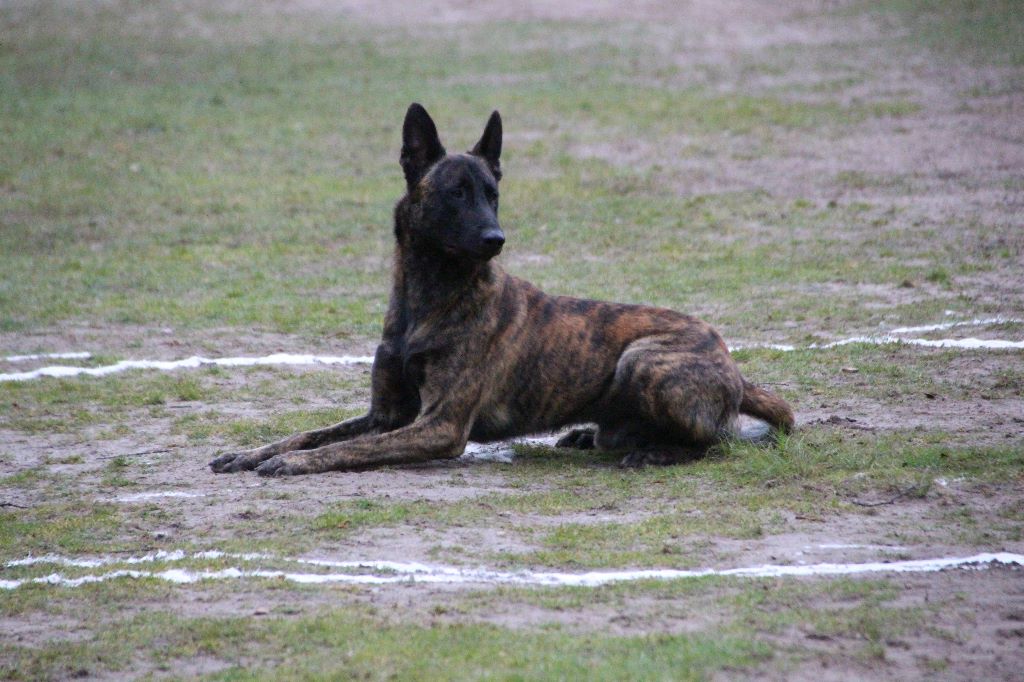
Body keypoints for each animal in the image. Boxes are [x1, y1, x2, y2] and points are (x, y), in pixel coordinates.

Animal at [211, 103, 794, 475]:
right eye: (455, 193)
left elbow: (345, 450)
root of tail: (731, 362)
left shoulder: (439, 425)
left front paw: (292, 462)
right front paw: (252, 452)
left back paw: (654, 452)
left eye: (492, 194)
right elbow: (316, 432)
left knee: (717, 440)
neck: (430, 295)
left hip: (644, 361)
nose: (496, 238)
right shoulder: (386, 415)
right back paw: (594, 434)